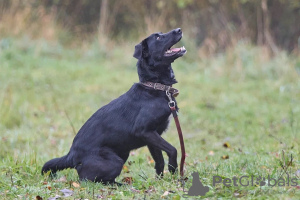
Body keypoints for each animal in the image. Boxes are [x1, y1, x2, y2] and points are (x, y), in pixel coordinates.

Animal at [42, 28, 186, 184]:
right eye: (158, 38)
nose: (179, 29)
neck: (155, 87)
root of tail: (71, 155)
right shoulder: (144, 131)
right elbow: (173, 149)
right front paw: (173, 168)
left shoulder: (153, 136)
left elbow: (159, 161)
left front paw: (159, 181)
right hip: (115, 161)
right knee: (89, 179)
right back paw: (120, 184)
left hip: (123, 152)